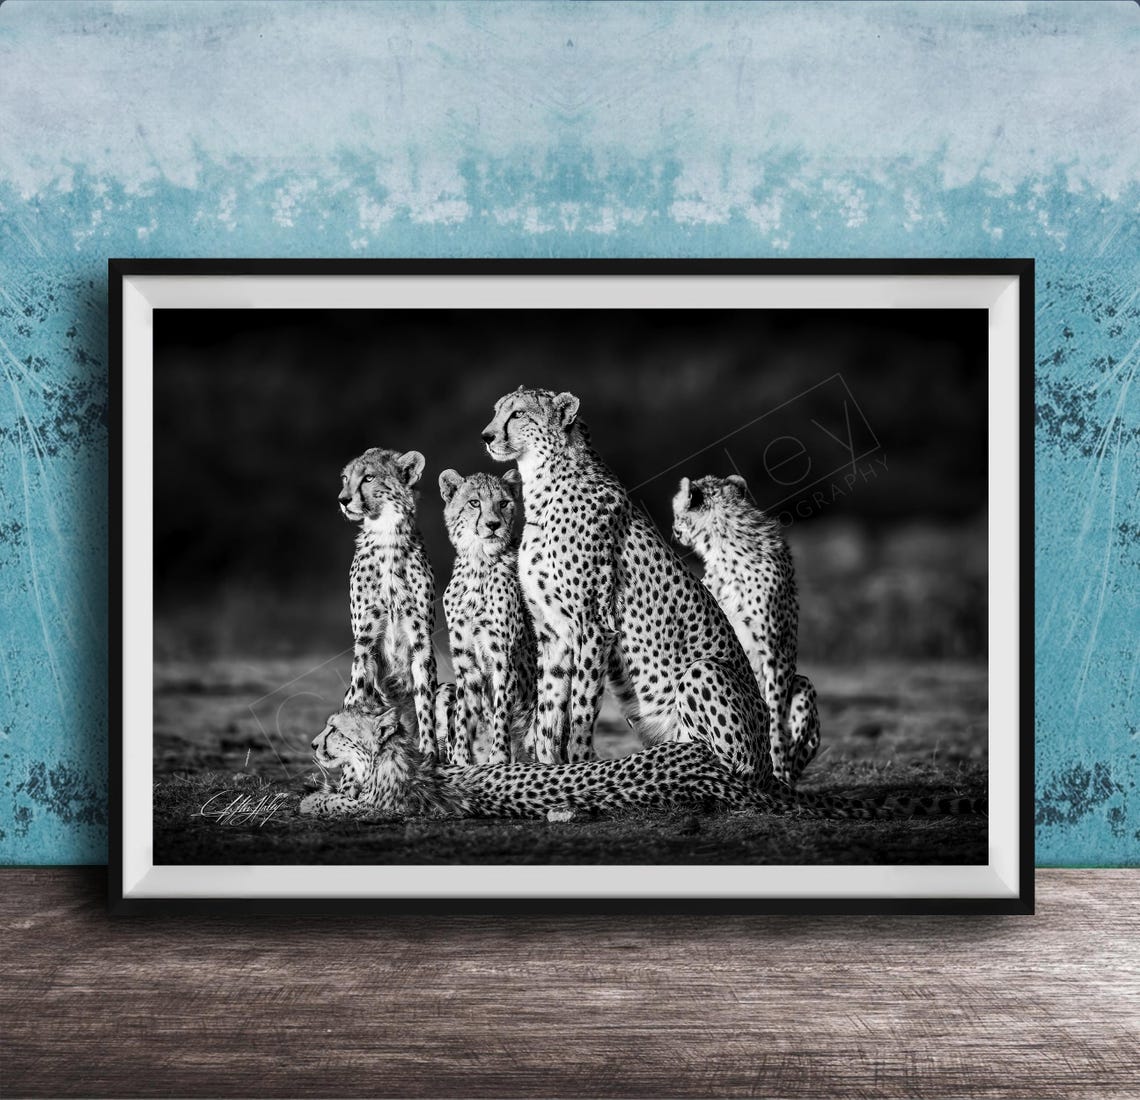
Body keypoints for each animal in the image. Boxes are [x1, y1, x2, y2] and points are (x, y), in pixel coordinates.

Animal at [338, 446, 438, 760]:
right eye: (345, 478)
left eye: (368, 477)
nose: (342, 500)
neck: (387, 537)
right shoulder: (365, 640)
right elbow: (360, 697)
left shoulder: (421, 640)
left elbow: (425, 705)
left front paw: (430, 753)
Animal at [439, 468, 537, 765]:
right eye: (474, 502)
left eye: (503, 503)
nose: (493, 525)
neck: (478, 563)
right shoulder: (465, 663)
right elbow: (462, 714)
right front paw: (461, 758)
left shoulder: (503, 658)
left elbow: (502, 713)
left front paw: (498, 758)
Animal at [672, 473, 820, 785]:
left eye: (678, 514)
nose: (674, 530)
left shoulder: (776, 653)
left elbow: (775, 714)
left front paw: (777, 763)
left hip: (803, 684)